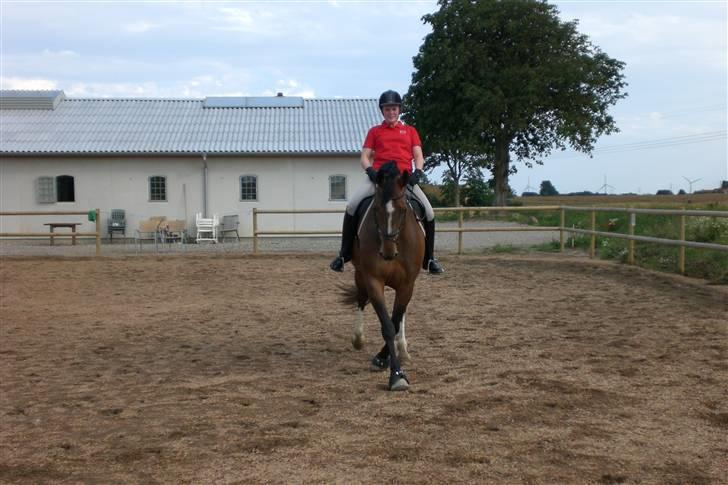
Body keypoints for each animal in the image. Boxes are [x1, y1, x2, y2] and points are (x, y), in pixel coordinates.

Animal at [342, 161, 424, 392]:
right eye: (376, 209)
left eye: (404, 210)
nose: (387, 252)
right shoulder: (373, 280)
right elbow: (387, 326)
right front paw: (395, 374)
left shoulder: (407, 284)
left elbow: (395, 321)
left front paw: (388, 359)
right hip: (360, 274)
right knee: (361, 299)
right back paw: (358, 338)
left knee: (401, 313)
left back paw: (402, 348)